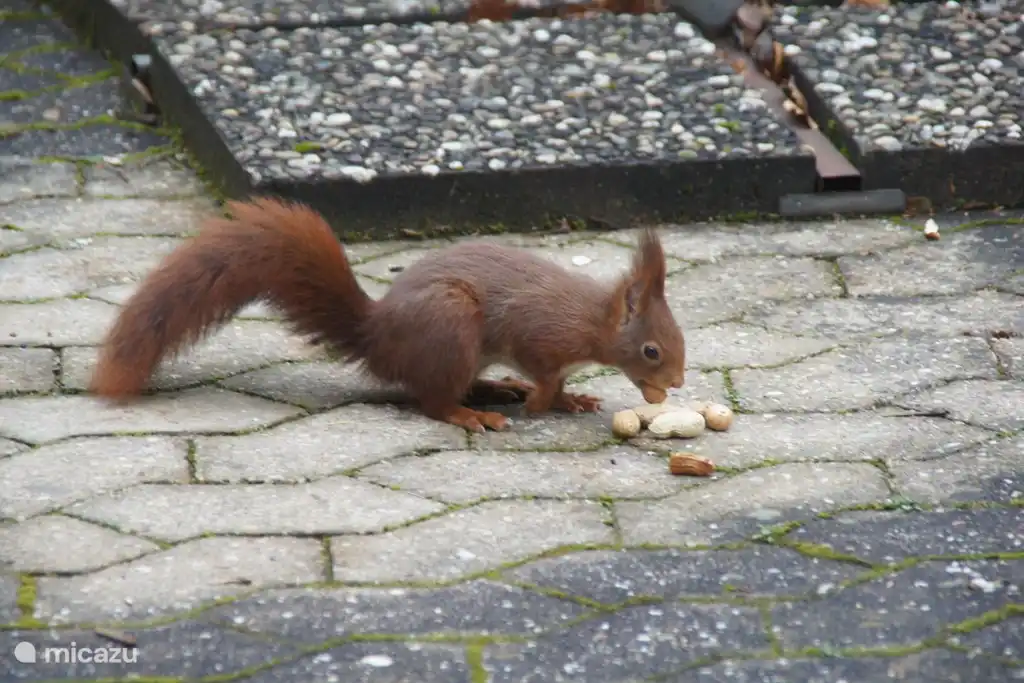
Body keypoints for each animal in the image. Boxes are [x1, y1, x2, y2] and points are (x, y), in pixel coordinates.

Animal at [89, 197, 687, 433]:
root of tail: (378, 337)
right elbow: (542, 369)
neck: (593, 320)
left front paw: (570, 399)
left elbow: (561, 382)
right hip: (451, 328)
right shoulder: (540, 333)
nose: (678, 383)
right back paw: (475, 413)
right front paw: (542, 400)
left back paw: (497, 389)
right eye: (652, 349)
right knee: (433, 400)